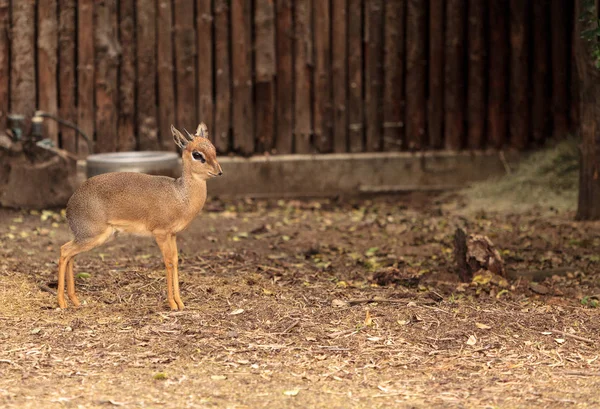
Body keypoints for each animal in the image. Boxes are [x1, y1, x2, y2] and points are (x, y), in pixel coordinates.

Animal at [55, 123, 220, 310]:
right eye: (197, 154)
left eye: (213, 149)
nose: (219, 171)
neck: (180, 195)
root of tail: (70, 205)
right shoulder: (160, 233)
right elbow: (168, 262)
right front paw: (172, 304)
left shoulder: (172, 235)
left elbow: (175, 261)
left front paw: (180, 302)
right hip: (92, 236)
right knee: (64, 251)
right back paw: (62, 302)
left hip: (90, 238)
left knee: (70, 255)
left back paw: (74, 300)